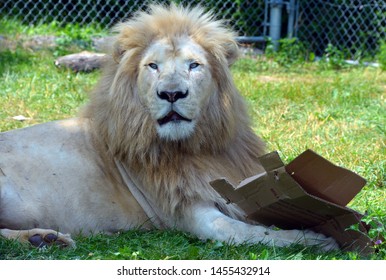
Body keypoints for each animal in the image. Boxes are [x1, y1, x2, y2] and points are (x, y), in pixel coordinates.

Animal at [0, 4, 336, 250]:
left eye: (194, 65)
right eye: (153, 66)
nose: (172, 93)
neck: (192, 147)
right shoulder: (188, 213)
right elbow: (247, 232)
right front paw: (315, 239)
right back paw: (42, 238)